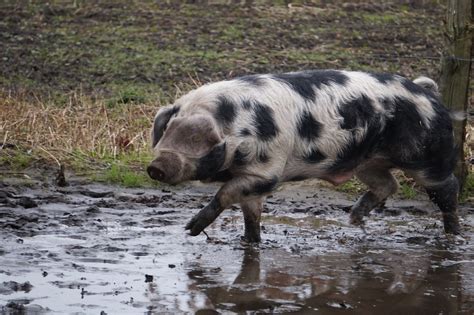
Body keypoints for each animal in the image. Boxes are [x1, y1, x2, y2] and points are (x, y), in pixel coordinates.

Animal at [146, 70, 462, 243]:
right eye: (167, 133)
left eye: (195, 139)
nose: (155, 167)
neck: (239, 128)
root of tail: (430, 94)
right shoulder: (252, 180)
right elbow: (251, 216)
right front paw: (249, 241)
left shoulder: (267, 172)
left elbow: (224, 193)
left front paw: (190, 230)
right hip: (367, 161)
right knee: (388, 184)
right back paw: (353, 219)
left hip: (427, 158)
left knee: (447, 188)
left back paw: (453, 234)